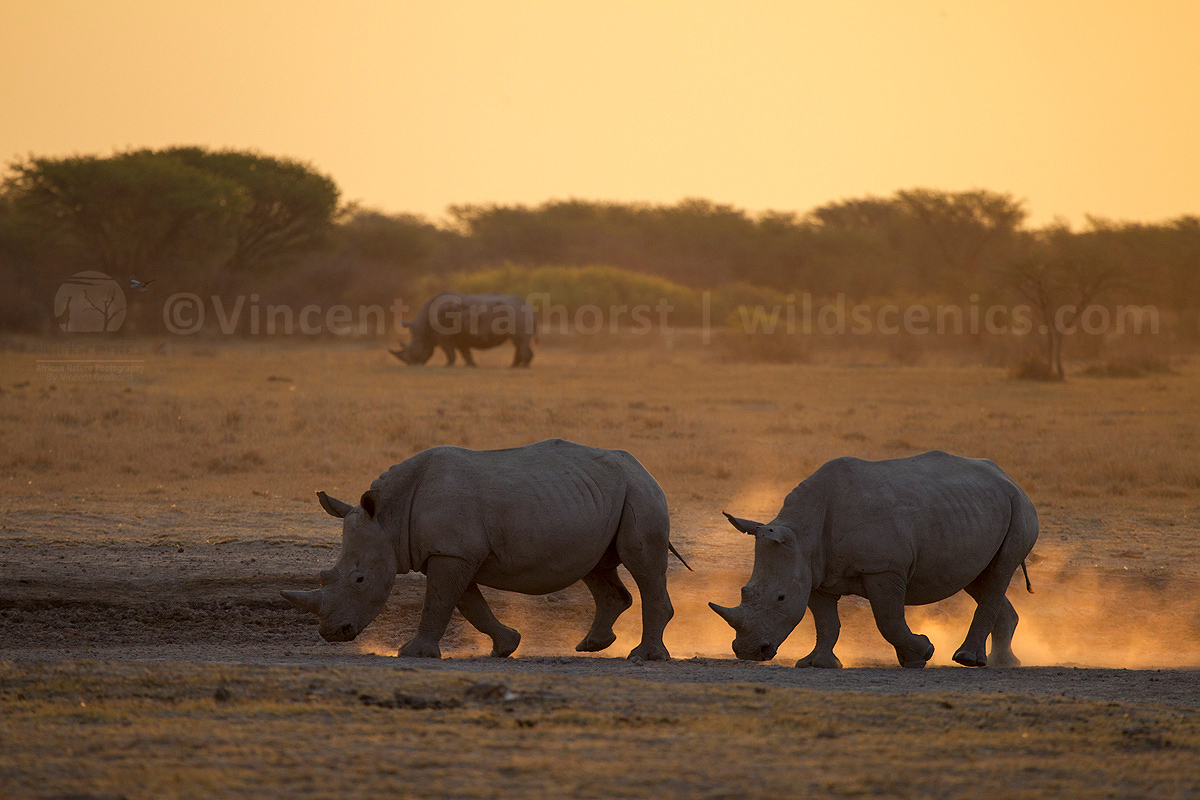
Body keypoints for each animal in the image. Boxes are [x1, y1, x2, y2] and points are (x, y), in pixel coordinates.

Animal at [281, 439, 689, 660]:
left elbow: (440, 603)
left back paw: (644, 657)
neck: (389, 516)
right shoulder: (450, 552)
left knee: (641, 563)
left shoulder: (451, 552)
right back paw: (591, 646)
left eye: (360, 579)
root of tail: (642, 466)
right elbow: (467, 604)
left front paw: (411, 652)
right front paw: (506, 647)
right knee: (597, 567)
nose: (331, 633)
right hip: (600, 496)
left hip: (640, 491)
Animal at [390, 293, 535, 367]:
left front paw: (447, 365)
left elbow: (449, 352)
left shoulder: (443, 337)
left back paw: (522, 367)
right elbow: (465, 352)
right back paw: (514, 366)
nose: (411, 364)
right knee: (519, 342)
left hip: (518, 312)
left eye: (413, 351)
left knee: (520, 341)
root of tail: (530, 307)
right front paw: (471, 365)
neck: (422, 329)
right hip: (517, 312)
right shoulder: (461, 338)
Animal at [709, 451, 1037, 668]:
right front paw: (817, 663)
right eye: (745, 592)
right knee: (978, 577)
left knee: (999, 572)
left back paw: (968, 660)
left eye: (780, 597)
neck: (802, 532)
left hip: (1019, 506)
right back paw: (1004, 663)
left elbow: (888, 619)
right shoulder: (815, 572)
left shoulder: (884, 568)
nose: (748, 651)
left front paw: (920, 655)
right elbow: (826, 622)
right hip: (976, 511)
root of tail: (1008, 478)